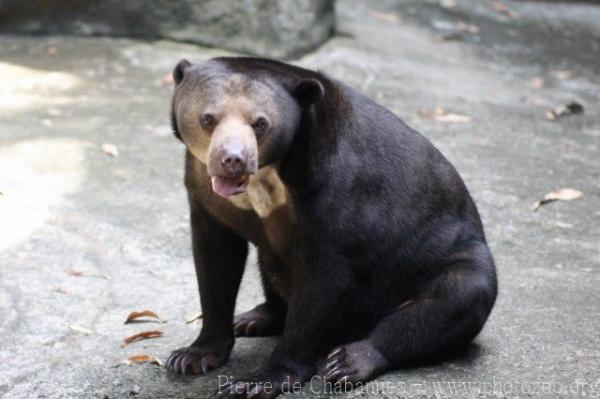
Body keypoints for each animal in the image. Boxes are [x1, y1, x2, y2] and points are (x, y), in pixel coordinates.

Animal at [165, 57, 496, 399]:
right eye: (208, 119)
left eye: (260, 123)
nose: (233, 160)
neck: (269, 175)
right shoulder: (203, 188)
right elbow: (215, 259)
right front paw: (191, 357)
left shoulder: (333, 191)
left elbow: (324, 279)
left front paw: (257, 381)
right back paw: (252, 319)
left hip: (449, 260)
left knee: (451, 297)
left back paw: (350, 361)